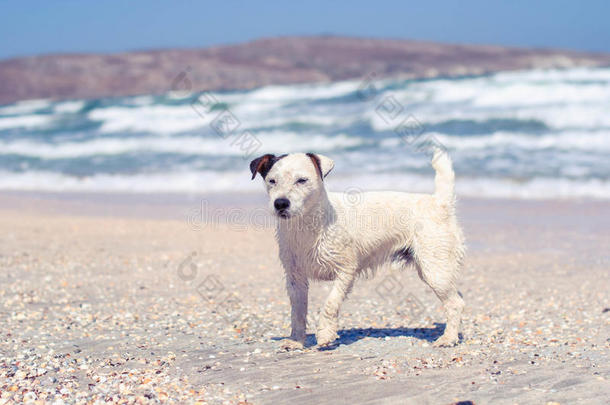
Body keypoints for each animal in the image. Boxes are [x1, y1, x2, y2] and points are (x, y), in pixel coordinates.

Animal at [249, 148, 464, 348]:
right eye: (271, 181)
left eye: (302, 180)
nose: (280, 203)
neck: (308, 225)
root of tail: (439, 202)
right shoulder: (295, 279)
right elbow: (297, 312)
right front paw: (296, 341)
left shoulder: (346, 270)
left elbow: (330, 303)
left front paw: (325, 334)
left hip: (435, 269)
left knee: (455, 303)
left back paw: (449, 338)